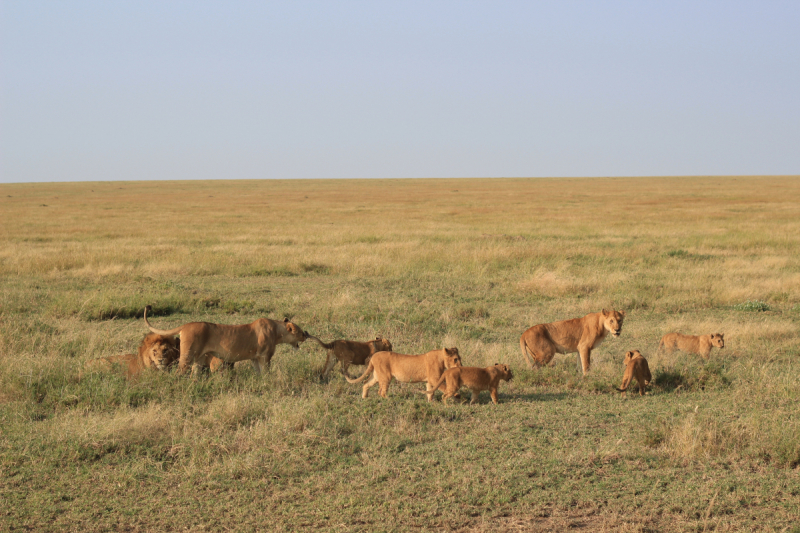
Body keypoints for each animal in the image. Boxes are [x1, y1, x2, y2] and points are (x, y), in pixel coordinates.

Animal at [142, 304, 308, 374]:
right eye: (299, 331)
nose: (306, 334)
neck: (277, 330)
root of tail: (186, 325)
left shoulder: (254, 357)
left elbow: (258, 373)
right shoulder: (264, 356)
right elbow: (266, 372)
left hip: (199, 358)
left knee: (195, 374)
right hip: (187, 355)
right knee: (179, 372)